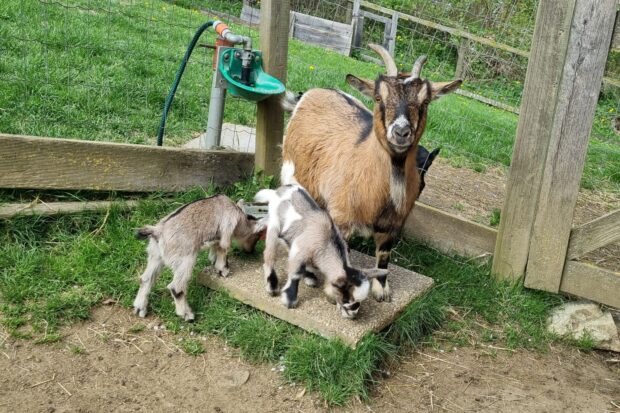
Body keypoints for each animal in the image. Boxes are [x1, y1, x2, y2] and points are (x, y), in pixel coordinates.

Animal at [132, 196, 266, 322]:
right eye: (257, 236)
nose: (251, 251)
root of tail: (158, 232)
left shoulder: (216, 236)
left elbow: (215, 246)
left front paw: (213, 260)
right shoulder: (226, 232)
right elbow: (223, 249)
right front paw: (223, 270)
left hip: (155, 256)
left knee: (146, 279)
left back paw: (140, 308)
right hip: (185, 260)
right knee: (176, 288)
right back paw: (187, 315)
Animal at [254, 184, 386, 318]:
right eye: (346, 299)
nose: (353, 315)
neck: (327, 241)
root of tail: (280, 190)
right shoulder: (299, 249)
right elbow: (295, 273)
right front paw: (289, 301)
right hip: (274, 226)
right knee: (269, 254)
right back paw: (272, 286)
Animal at [280, 44, 460, 300]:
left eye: (425, 102)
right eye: (378, 97)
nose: (401, 132)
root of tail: (312, 93)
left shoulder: (393, 223)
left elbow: (384, 256)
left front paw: (382, 290)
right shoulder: (342, 217)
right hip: (292, 171)